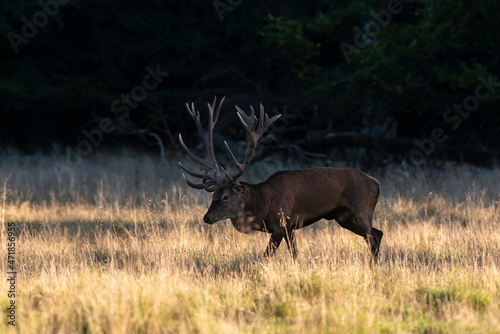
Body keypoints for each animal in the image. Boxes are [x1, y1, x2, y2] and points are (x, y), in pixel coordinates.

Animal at [179, 97, 382, 264]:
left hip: (362, 210)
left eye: (226, 197)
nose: (207, 217)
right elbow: (295, 254)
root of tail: (377, 183)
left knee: (373, 238)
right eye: (213, 195)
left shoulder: (280, 222)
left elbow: (265, 257)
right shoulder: (290, 227)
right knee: (377, 234)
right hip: (342, 216)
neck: (263, 205)